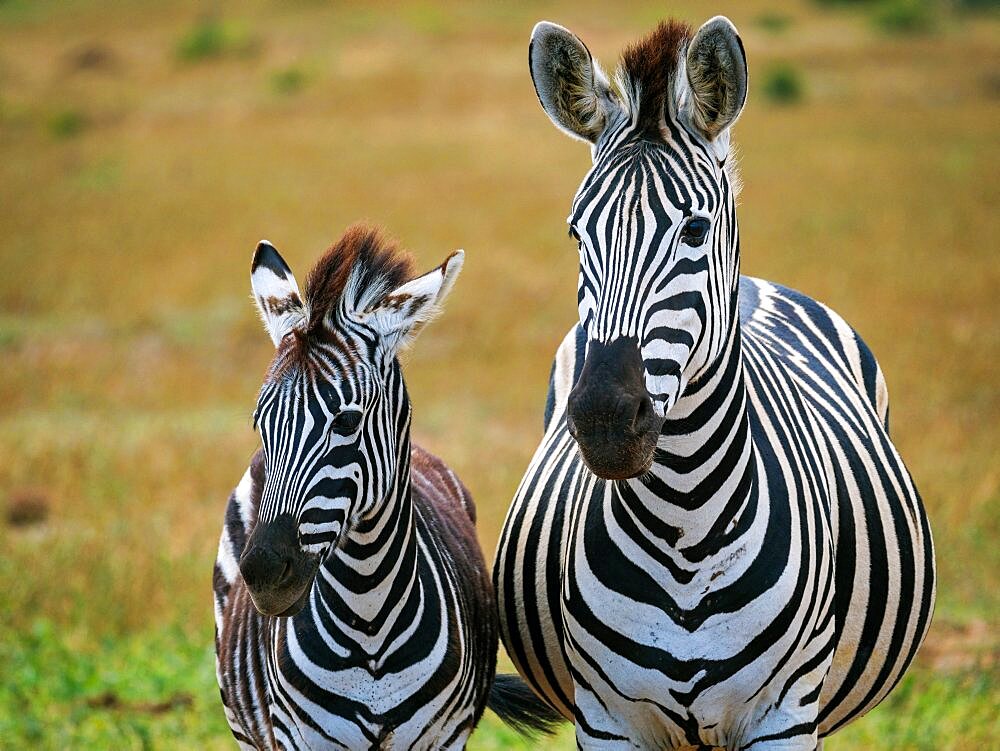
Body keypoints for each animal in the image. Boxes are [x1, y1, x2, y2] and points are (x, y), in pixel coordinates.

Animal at [215, 225, 560, 751]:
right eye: (260, 423)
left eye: (347, 422)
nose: (265, 574)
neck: (369, 615)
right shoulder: (300, 738)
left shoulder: (442, 737)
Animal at [496, 13, 940, 751]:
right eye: (577, 232)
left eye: (696, 229)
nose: (605, 422)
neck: (686, 526)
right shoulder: (607, 719)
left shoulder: (784, 716)